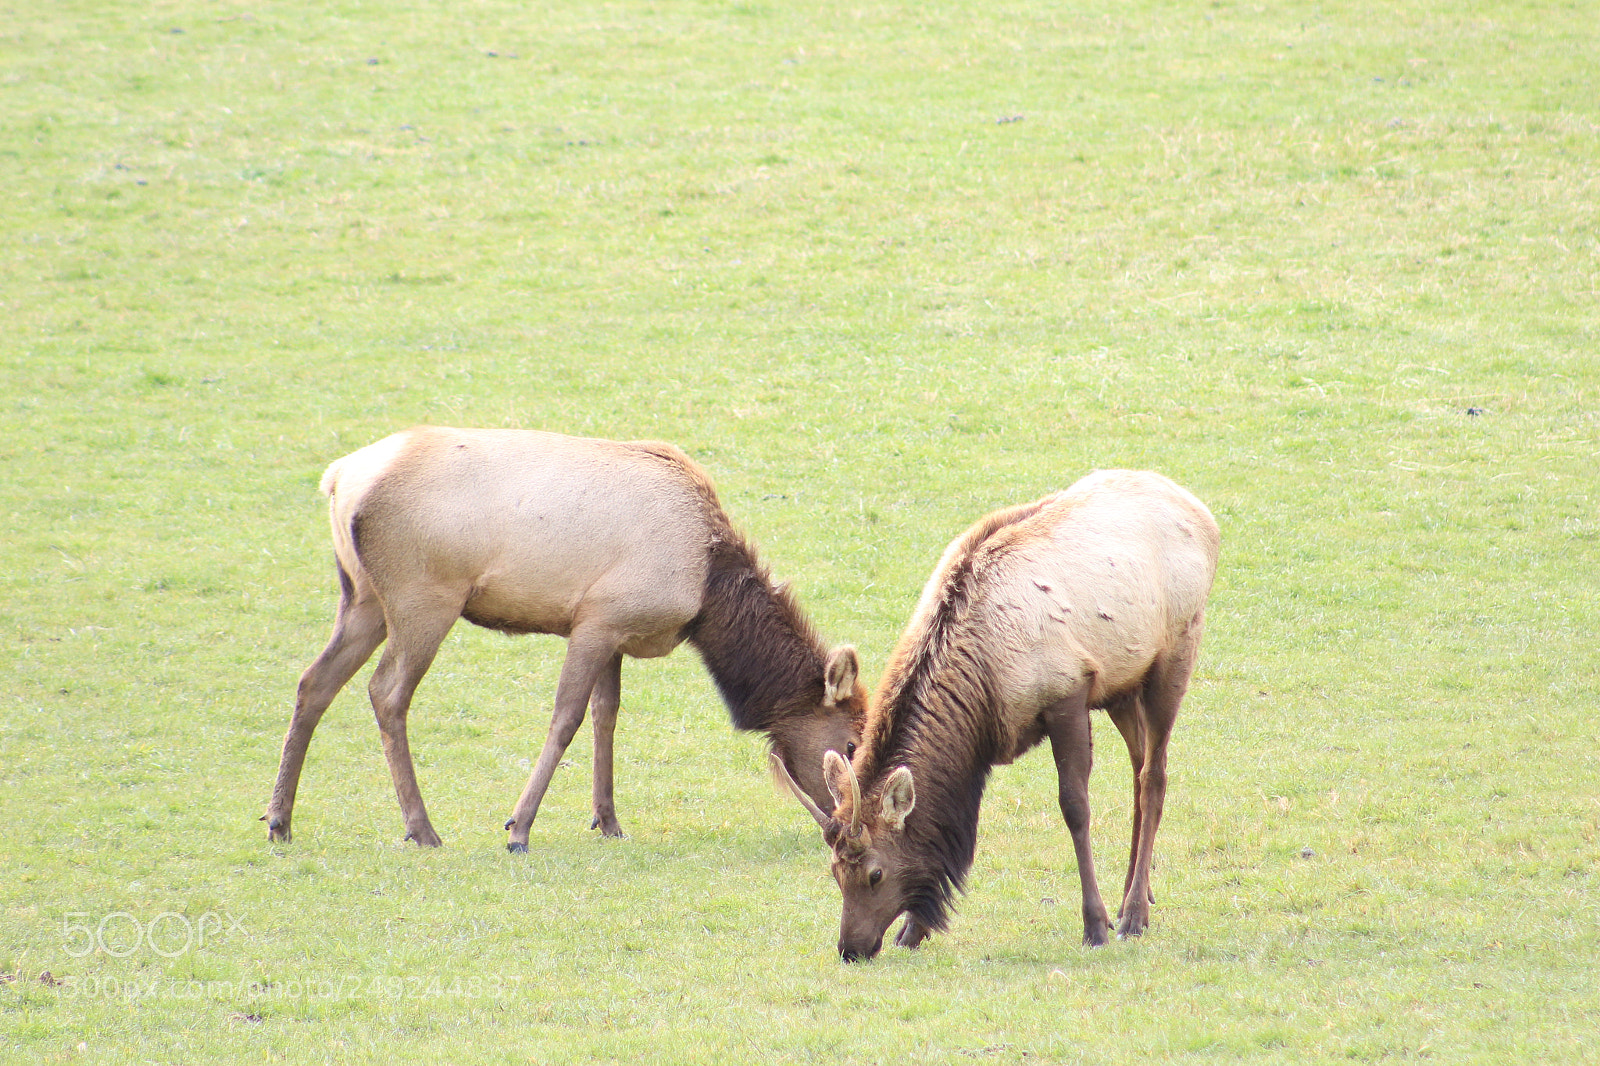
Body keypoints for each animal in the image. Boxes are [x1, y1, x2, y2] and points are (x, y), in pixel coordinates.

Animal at [264, 426, 867, 852]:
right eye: (851, 745)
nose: (846, 828)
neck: (708, 594)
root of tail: (338, 479)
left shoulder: (615, 631)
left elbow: (606, 716)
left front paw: (609, 820)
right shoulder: (597, 619)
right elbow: (567, 718)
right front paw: (518, 827)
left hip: (363, 598)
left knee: (313, 682)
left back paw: (279, 820)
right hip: (424, 598)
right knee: (386, 692)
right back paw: (422, 828)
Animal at [775, 470, 1219, 960]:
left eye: (875, 873)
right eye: (834, 873)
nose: (851, 948)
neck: (983, 688)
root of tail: (1202, 512)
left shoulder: (1067, 692)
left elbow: (1075, 808)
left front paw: (1094, 925)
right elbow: (954, 827)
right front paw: (913, 930)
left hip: (1176, 651)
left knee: (1154, 777)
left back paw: (1134, 914)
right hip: (1122, 684)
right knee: (1138, 772)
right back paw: (1133, 898)